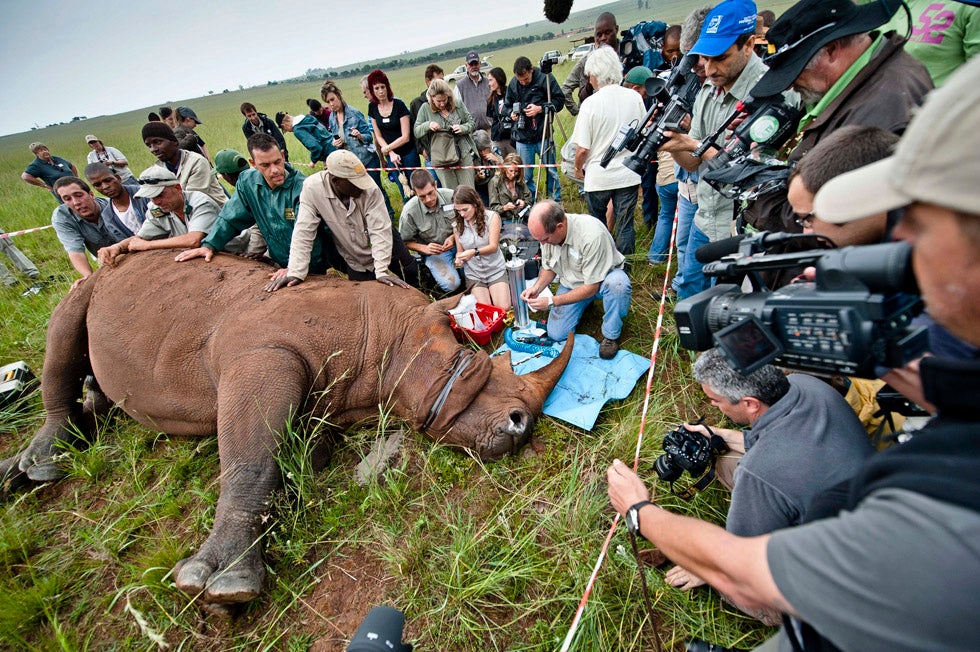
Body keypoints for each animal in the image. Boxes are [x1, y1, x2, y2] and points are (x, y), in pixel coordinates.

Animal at [0, 250, 572, 608]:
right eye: (469, 364)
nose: (521, 427)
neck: (388, 338)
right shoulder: (262, 352)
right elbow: (252, 462)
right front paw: (223, 588)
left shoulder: (326, 399)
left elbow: (293, 458)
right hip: (94, 279)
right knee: (65, 323)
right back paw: (42, 467)